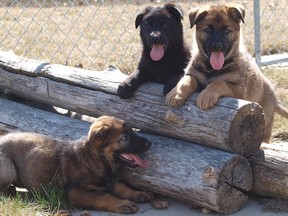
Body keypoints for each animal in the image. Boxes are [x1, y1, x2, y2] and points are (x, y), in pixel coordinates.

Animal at [0, 115, 153, 213]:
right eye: (125, 138)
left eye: (132, 131)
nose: (149, 142)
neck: (96, 159)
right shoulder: (76, 192)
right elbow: (104, 196)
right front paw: (122, 204)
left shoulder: (110, 181)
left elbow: (122, 187)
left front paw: (138, 193)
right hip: (8, 168)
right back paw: (10, 192)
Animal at [165, 3, 288, 142]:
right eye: (208, 30)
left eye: (226, 30)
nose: (217, 46)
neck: (211, 68)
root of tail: (275, 101)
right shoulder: (194, 74)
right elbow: (186, 80)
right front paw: (176, 94)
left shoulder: (238, 89)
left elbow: (218, 83)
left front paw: (206, 96)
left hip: (265, 125)